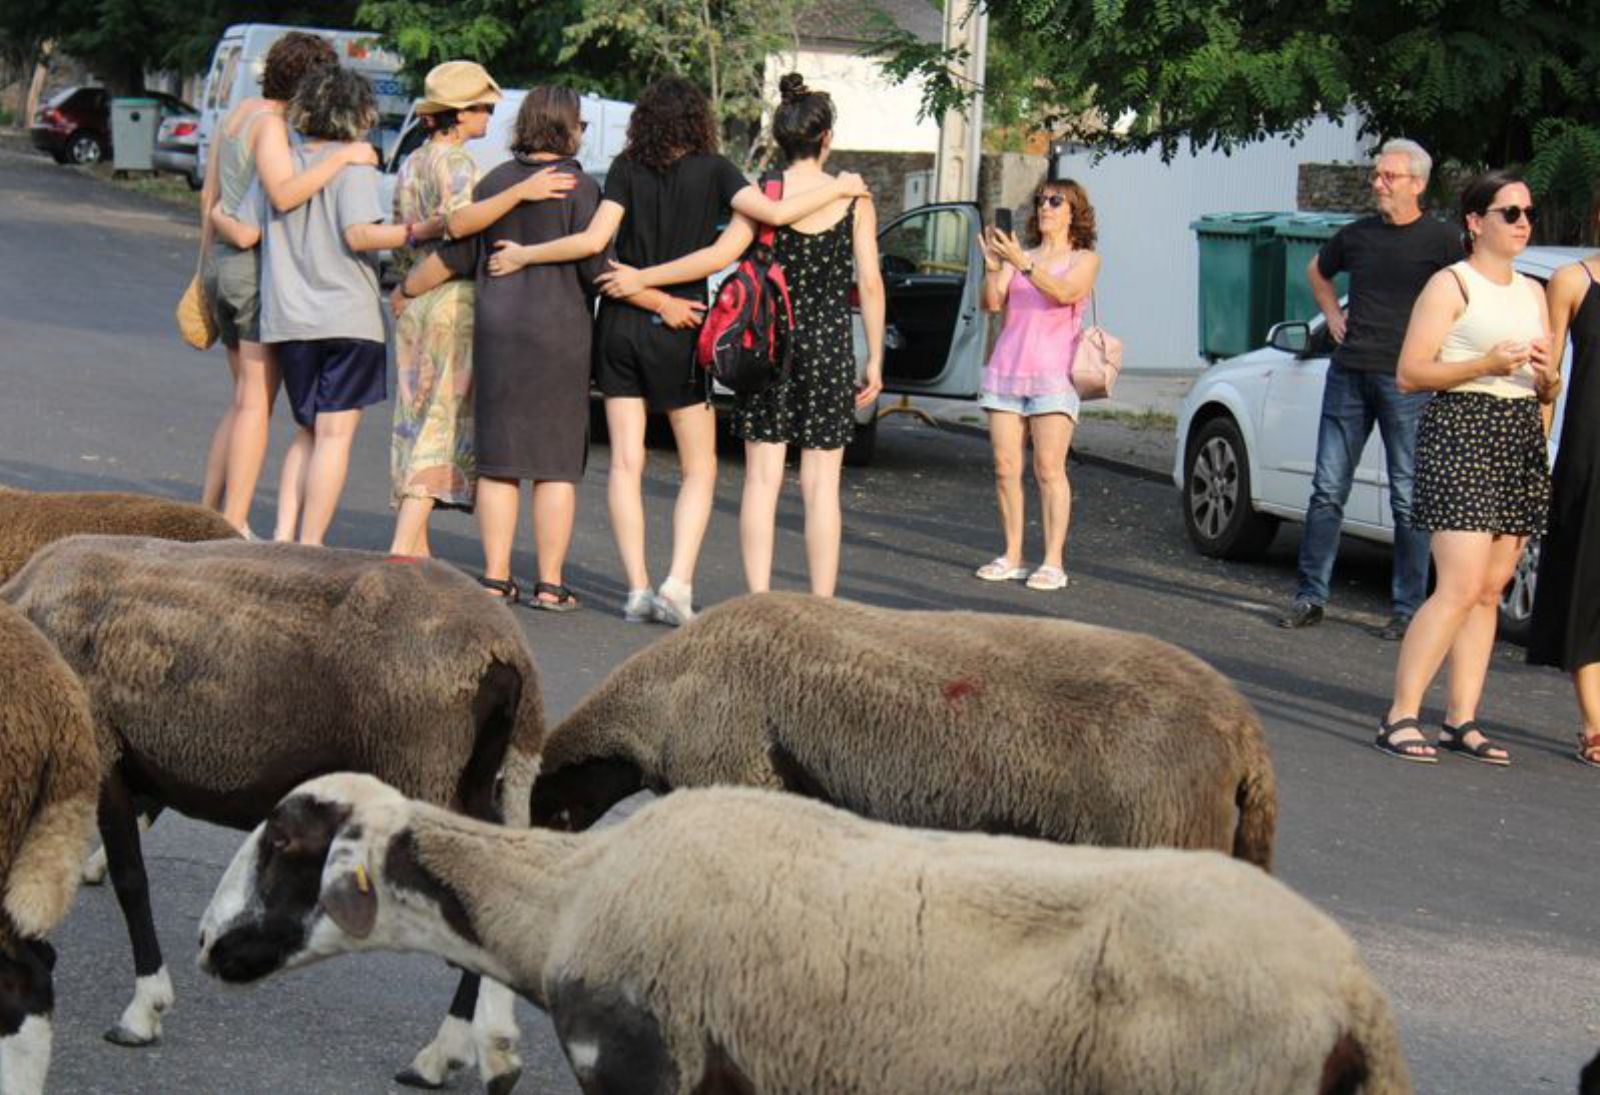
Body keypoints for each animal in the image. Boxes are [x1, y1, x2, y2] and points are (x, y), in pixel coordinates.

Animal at [0, 537, 547, 1095]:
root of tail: (509, 652)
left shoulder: (103, 747)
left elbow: (132, 882)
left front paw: (143, 1011)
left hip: (426, 764)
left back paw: (442, 1055)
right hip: (468, 776)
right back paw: (482, 1051)